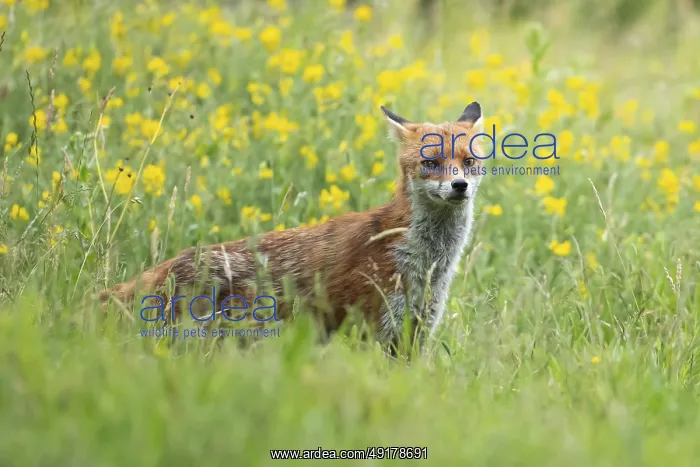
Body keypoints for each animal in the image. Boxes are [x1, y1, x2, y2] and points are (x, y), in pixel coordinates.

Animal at [99, 102, 486, 350]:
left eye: (468, 162)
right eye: (431, 163)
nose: (459, 186)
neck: (428, 264)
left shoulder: (414, 335)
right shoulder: (373, 329)